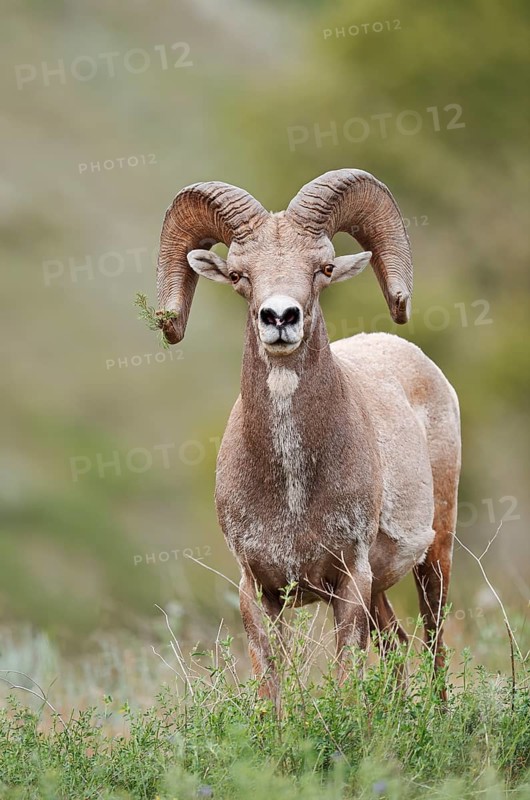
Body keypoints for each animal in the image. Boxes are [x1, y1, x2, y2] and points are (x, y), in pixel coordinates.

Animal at [156, 168, 461, 705]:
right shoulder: (259, 591)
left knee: (434, 647)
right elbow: (272, 688)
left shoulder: (349, 583)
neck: (293, 485)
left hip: (435, 558)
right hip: (382, 592)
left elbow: (345, 682)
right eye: (238, 275)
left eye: (323, 268)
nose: (280, 318)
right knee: (398, 648)